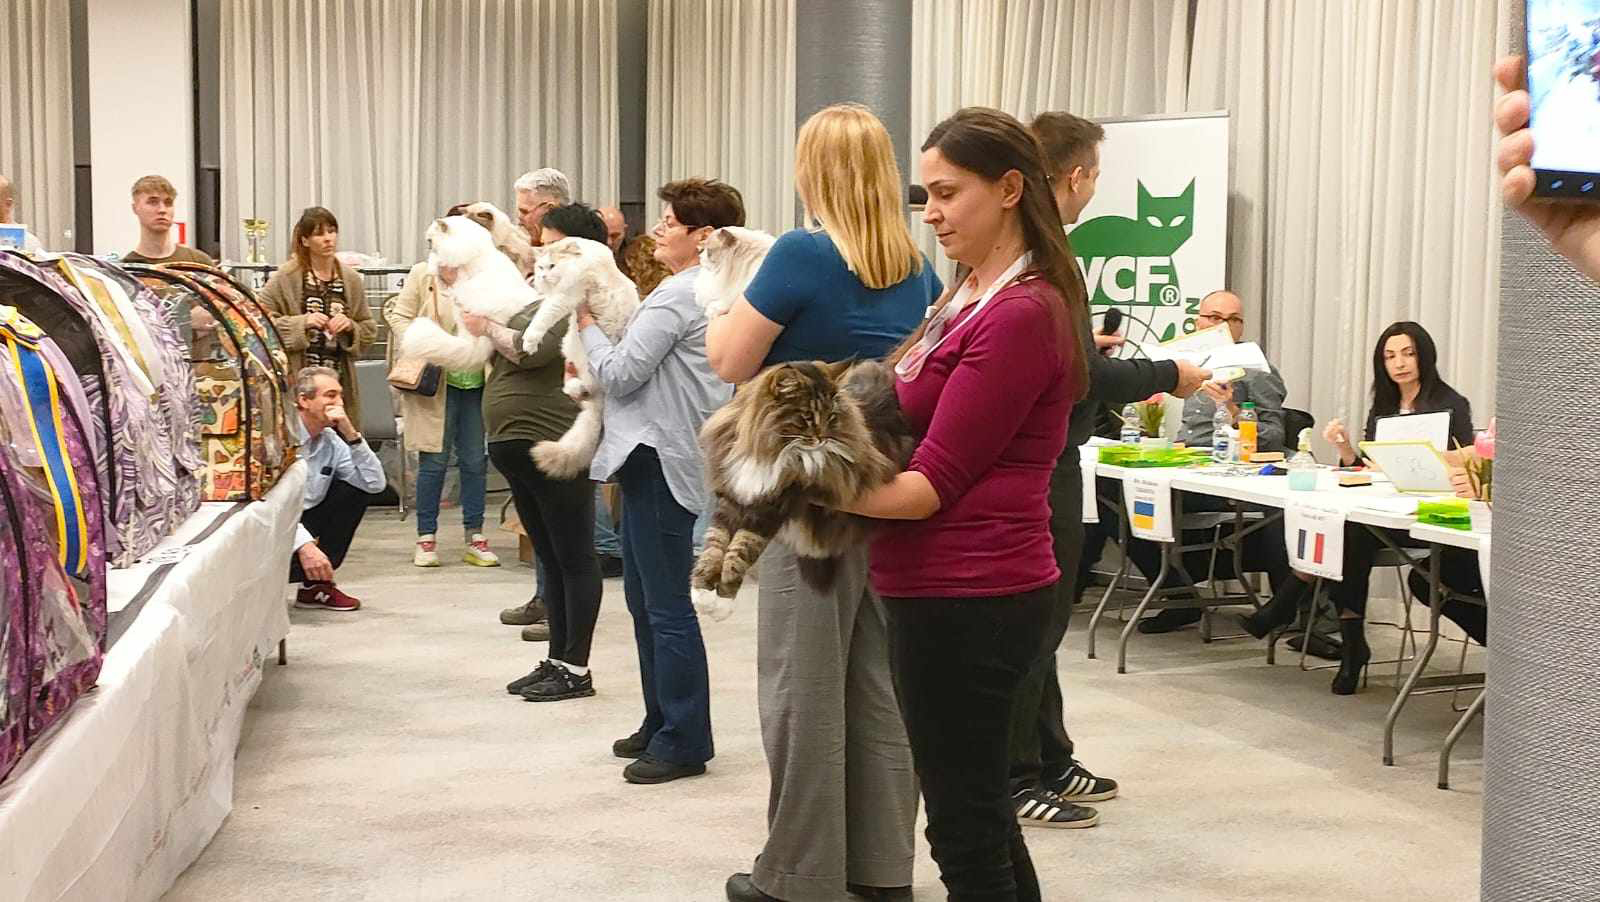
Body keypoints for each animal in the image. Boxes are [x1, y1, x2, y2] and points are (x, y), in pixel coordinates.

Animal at [517, 236, 641, 479]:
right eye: (540, 267)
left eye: (552, 266)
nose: (542, 277)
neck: (586, 258)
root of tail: (598, 407)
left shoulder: (566, 295)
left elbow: (541, 318)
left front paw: (529, 341)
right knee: (573, 389)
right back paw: (577, 388)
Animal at [690, 358, 917, 622]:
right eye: (807, 416)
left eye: (831, 416)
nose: (822, 438)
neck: (769, 450)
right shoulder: (732, 493)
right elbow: (714, 543)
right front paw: (702, 593)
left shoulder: (777, 502)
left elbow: (742, 549)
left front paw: (723, 599)